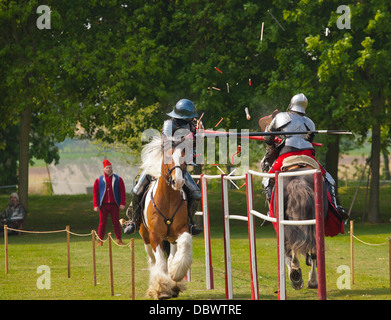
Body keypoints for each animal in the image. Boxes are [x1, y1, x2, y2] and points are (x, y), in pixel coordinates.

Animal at [138, 136, 193, 300]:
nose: (178, 182)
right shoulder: (154, 235)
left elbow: (184, 244)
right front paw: (161, 289)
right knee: (153, 260)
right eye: (168, 157)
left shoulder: (181, 229)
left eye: (183, 157)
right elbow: (160, 263)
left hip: (171, 238)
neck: (167, 198)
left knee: (170, 258)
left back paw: (173, 285)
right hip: (145, 237)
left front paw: (176, 274)